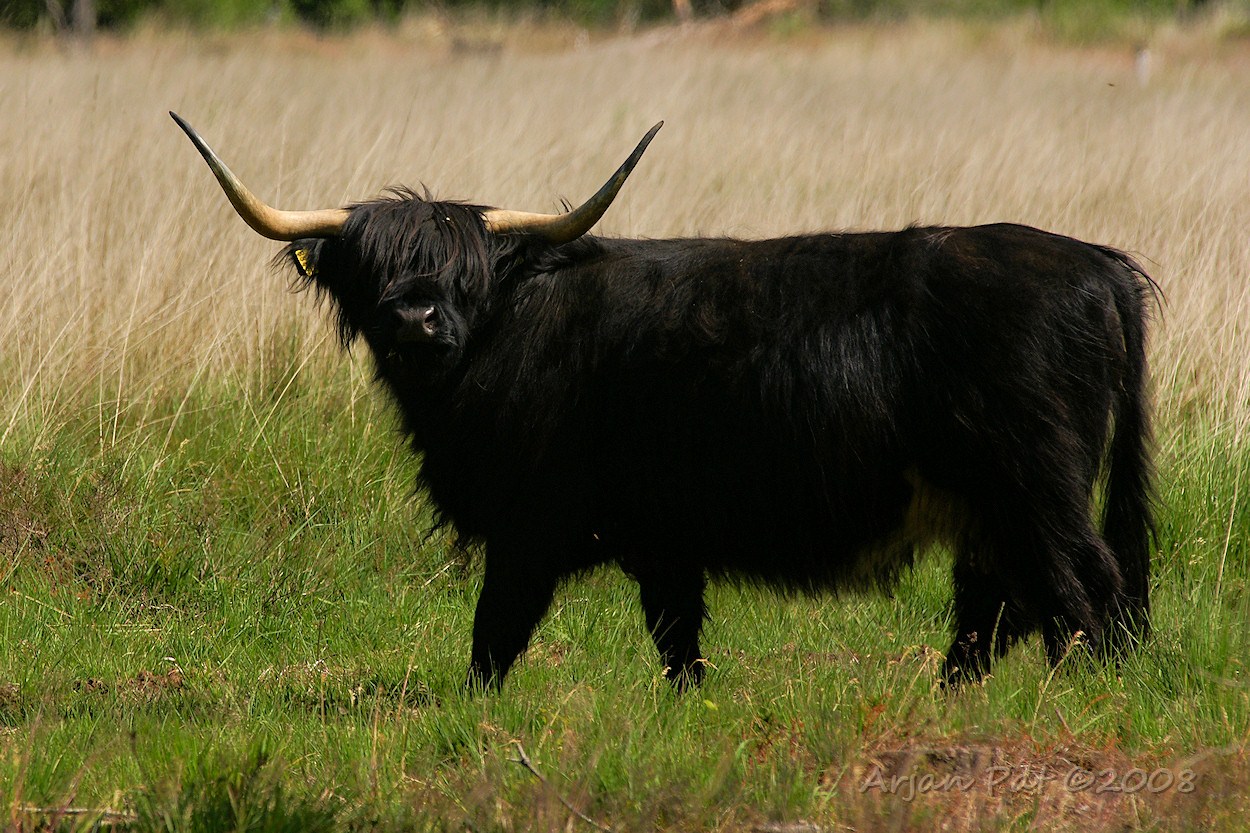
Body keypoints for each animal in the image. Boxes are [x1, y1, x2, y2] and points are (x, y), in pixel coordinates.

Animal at [171, 112, 1156, 691]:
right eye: (370, 267)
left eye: (465, 271)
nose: (416, 317)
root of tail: (1094, 261)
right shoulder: (664, 538)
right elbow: (676, 638)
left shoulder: (534, 523)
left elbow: (496, 631)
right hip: (991, 502)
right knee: (1002, 606)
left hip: (1035, 483)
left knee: (1084, 587)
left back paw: (1093, 696)